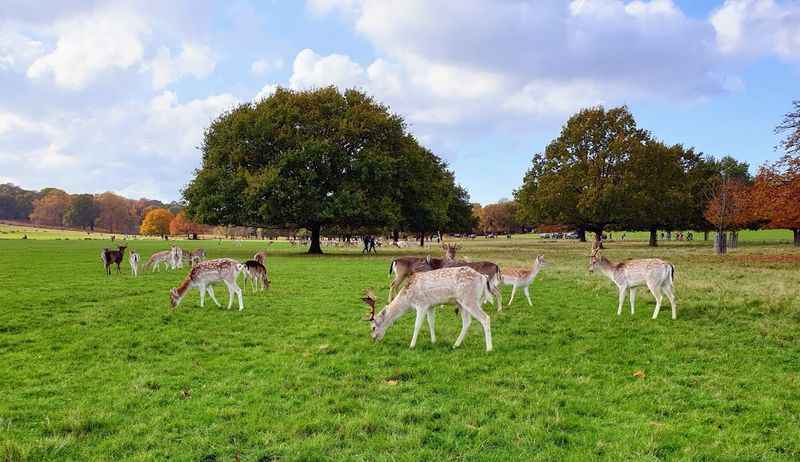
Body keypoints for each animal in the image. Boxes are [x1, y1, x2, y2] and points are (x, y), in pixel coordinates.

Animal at [362, 266, 494, 352]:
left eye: (373, 327)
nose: (373, 339)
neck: (408, 300)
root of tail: (483, 278)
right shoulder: (431, 305)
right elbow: (431, 323)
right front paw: (433, 341)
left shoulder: (422, 304)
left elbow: (417, 325)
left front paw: (412, 345)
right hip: (462, 303)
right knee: (467, 322)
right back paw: (455, 345)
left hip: (469, 299)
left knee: (485, 318)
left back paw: (489, 348)